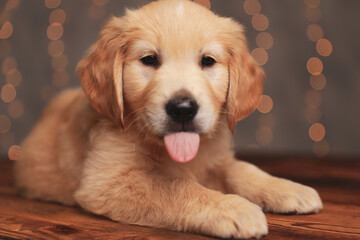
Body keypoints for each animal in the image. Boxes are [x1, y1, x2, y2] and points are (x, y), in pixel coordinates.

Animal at [14, 0, 324, 238]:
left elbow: (242, 169)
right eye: (149, 59)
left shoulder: (216, 158)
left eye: (208, 61)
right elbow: (176, 186)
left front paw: (286, 187)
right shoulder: (106, 180)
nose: (183, 108)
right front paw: (233, 208)